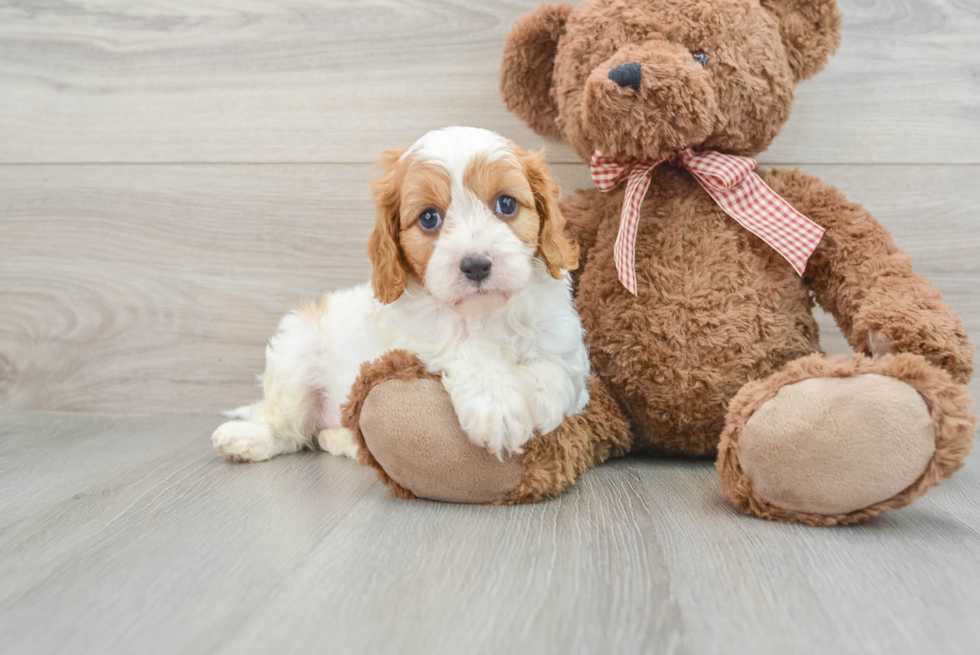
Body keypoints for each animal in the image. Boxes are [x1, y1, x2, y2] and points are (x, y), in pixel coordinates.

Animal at [212, 128, 588, 464]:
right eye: (429, 217)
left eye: (506, 204)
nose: (476, 265)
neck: (483, 315)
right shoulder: (412, 343)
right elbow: (464, 347)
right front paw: (497, 403)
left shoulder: (566, 347)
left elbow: (557, 371)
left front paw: (536, 398)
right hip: (296, 350)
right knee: (288, 427)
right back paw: (247, 438)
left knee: (322, 435)